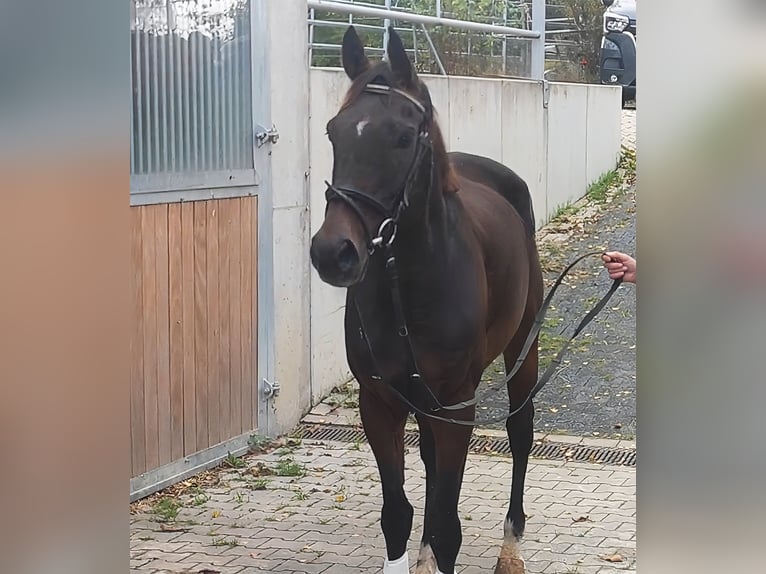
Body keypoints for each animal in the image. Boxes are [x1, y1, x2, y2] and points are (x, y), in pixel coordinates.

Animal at [309, 26, 543, 574]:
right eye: (333, 132)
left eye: (401, 136)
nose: (333, 252)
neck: (408, 284)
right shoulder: (380, 403)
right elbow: (398, 513)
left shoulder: (457, 405)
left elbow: (447, 526)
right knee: (431, 460)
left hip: (522, 346)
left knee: (520, 432)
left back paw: (510, 547)